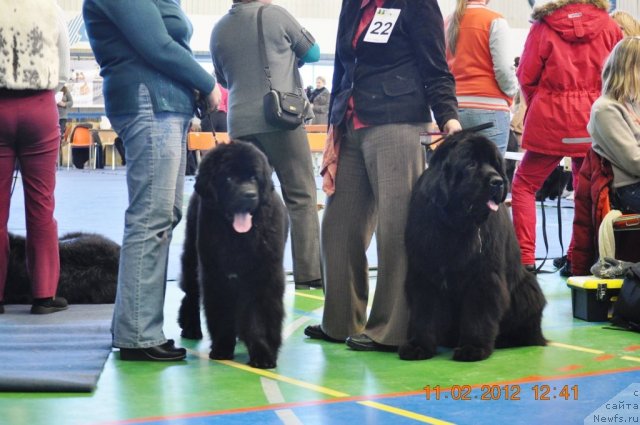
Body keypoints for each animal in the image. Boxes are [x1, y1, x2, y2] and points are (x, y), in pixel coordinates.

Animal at [178, 142, 288, 368]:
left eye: (254, 177)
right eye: (228, 177)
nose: (249, 195)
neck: (238, 238)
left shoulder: (263, 277)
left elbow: (260, 317)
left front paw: (263, 353)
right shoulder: (215, 276)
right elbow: (221, 313)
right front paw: (222, 348)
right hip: (193, 256)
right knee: (191, 292)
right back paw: (191, 327)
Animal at [400, 132, 544, 362]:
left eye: (494, 164)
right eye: (470, 164)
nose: (497, 182)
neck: (455, 225)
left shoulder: (483, 275)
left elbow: (478, 312)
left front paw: (473, 348)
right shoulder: (424, 271)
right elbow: (424, 311)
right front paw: (419, 345)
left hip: (528, 289)